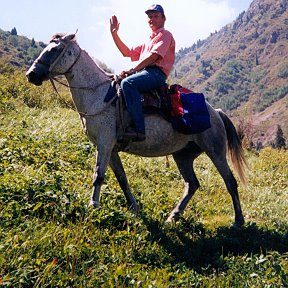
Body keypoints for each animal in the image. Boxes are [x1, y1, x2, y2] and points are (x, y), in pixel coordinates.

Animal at [26, 33, 248, 227]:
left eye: (54, 49)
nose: (31, 75)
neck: (99, 95)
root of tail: (216, 112)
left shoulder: (104, 145)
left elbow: (98, 175)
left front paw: (93, 206)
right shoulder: (111, 149)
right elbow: (122, 179)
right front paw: (135, 209)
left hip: (215, 152)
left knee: (230, 182)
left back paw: (238, 221)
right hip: (183, 156)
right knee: (192, 184)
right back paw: (173, 216)